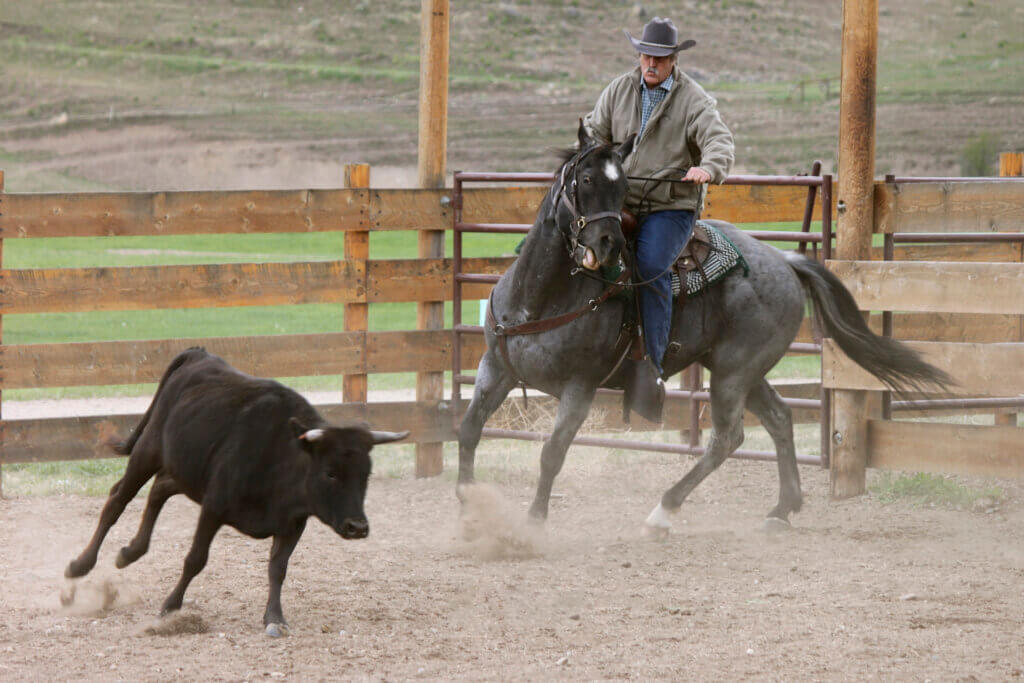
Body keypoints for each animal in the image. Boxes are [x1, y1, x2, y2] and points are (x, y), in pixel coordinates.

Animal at [62, 350, 407, 638]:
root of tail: (199, 355)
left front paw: (274, 618)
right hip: (149, 450)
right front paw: (171, 606)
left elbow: (278, 568)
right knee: (117, 500)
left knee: (159, 489)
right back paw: (79, 568)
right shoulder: (213, 507)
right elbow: (196, 559)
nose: (357, 527)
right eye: (330, 473)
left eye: (366, 475)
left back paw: (130, 552)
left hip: (186, 468)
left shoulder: (293, 522)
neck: (283, 457)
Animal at [456, 125, 950, 536]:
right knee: (779, 418)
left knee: (727, 439)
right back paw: (782, 509)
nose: (607, 245)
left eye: (622, 187)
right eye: (587, 180)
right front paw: (467, 507)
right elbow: (468, 430)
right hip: (744, 371)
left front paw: (534, 521)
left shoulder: (581, 387)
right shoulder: (494, 369)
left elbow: (552, 452)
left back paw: (664, 511)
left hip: (733, 373)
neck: (543, 295)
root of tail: (786, 261)